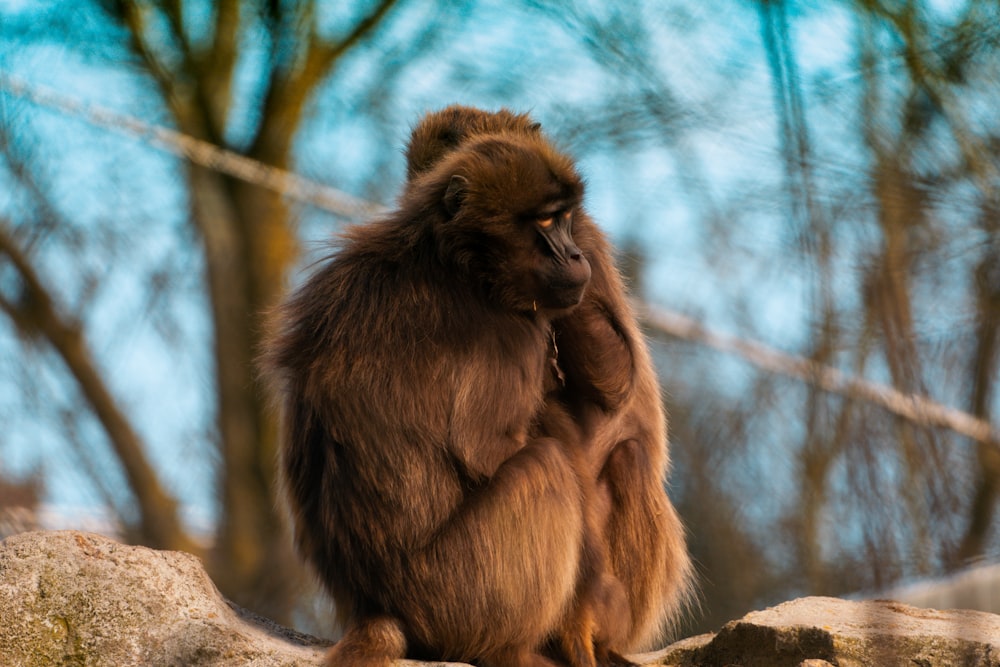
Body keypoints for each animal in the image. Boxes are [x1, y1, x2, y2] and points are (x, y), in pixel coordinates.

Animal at [262, 122, 600, 664]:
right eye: (548, 220)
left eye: (566, 218)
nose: (575, 255)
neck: (454, 258)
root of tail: (377, 607)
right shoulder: (513, 334)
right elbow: (487, 449)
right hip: (460, 591)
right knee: (546, 464)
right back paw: (514, 650)